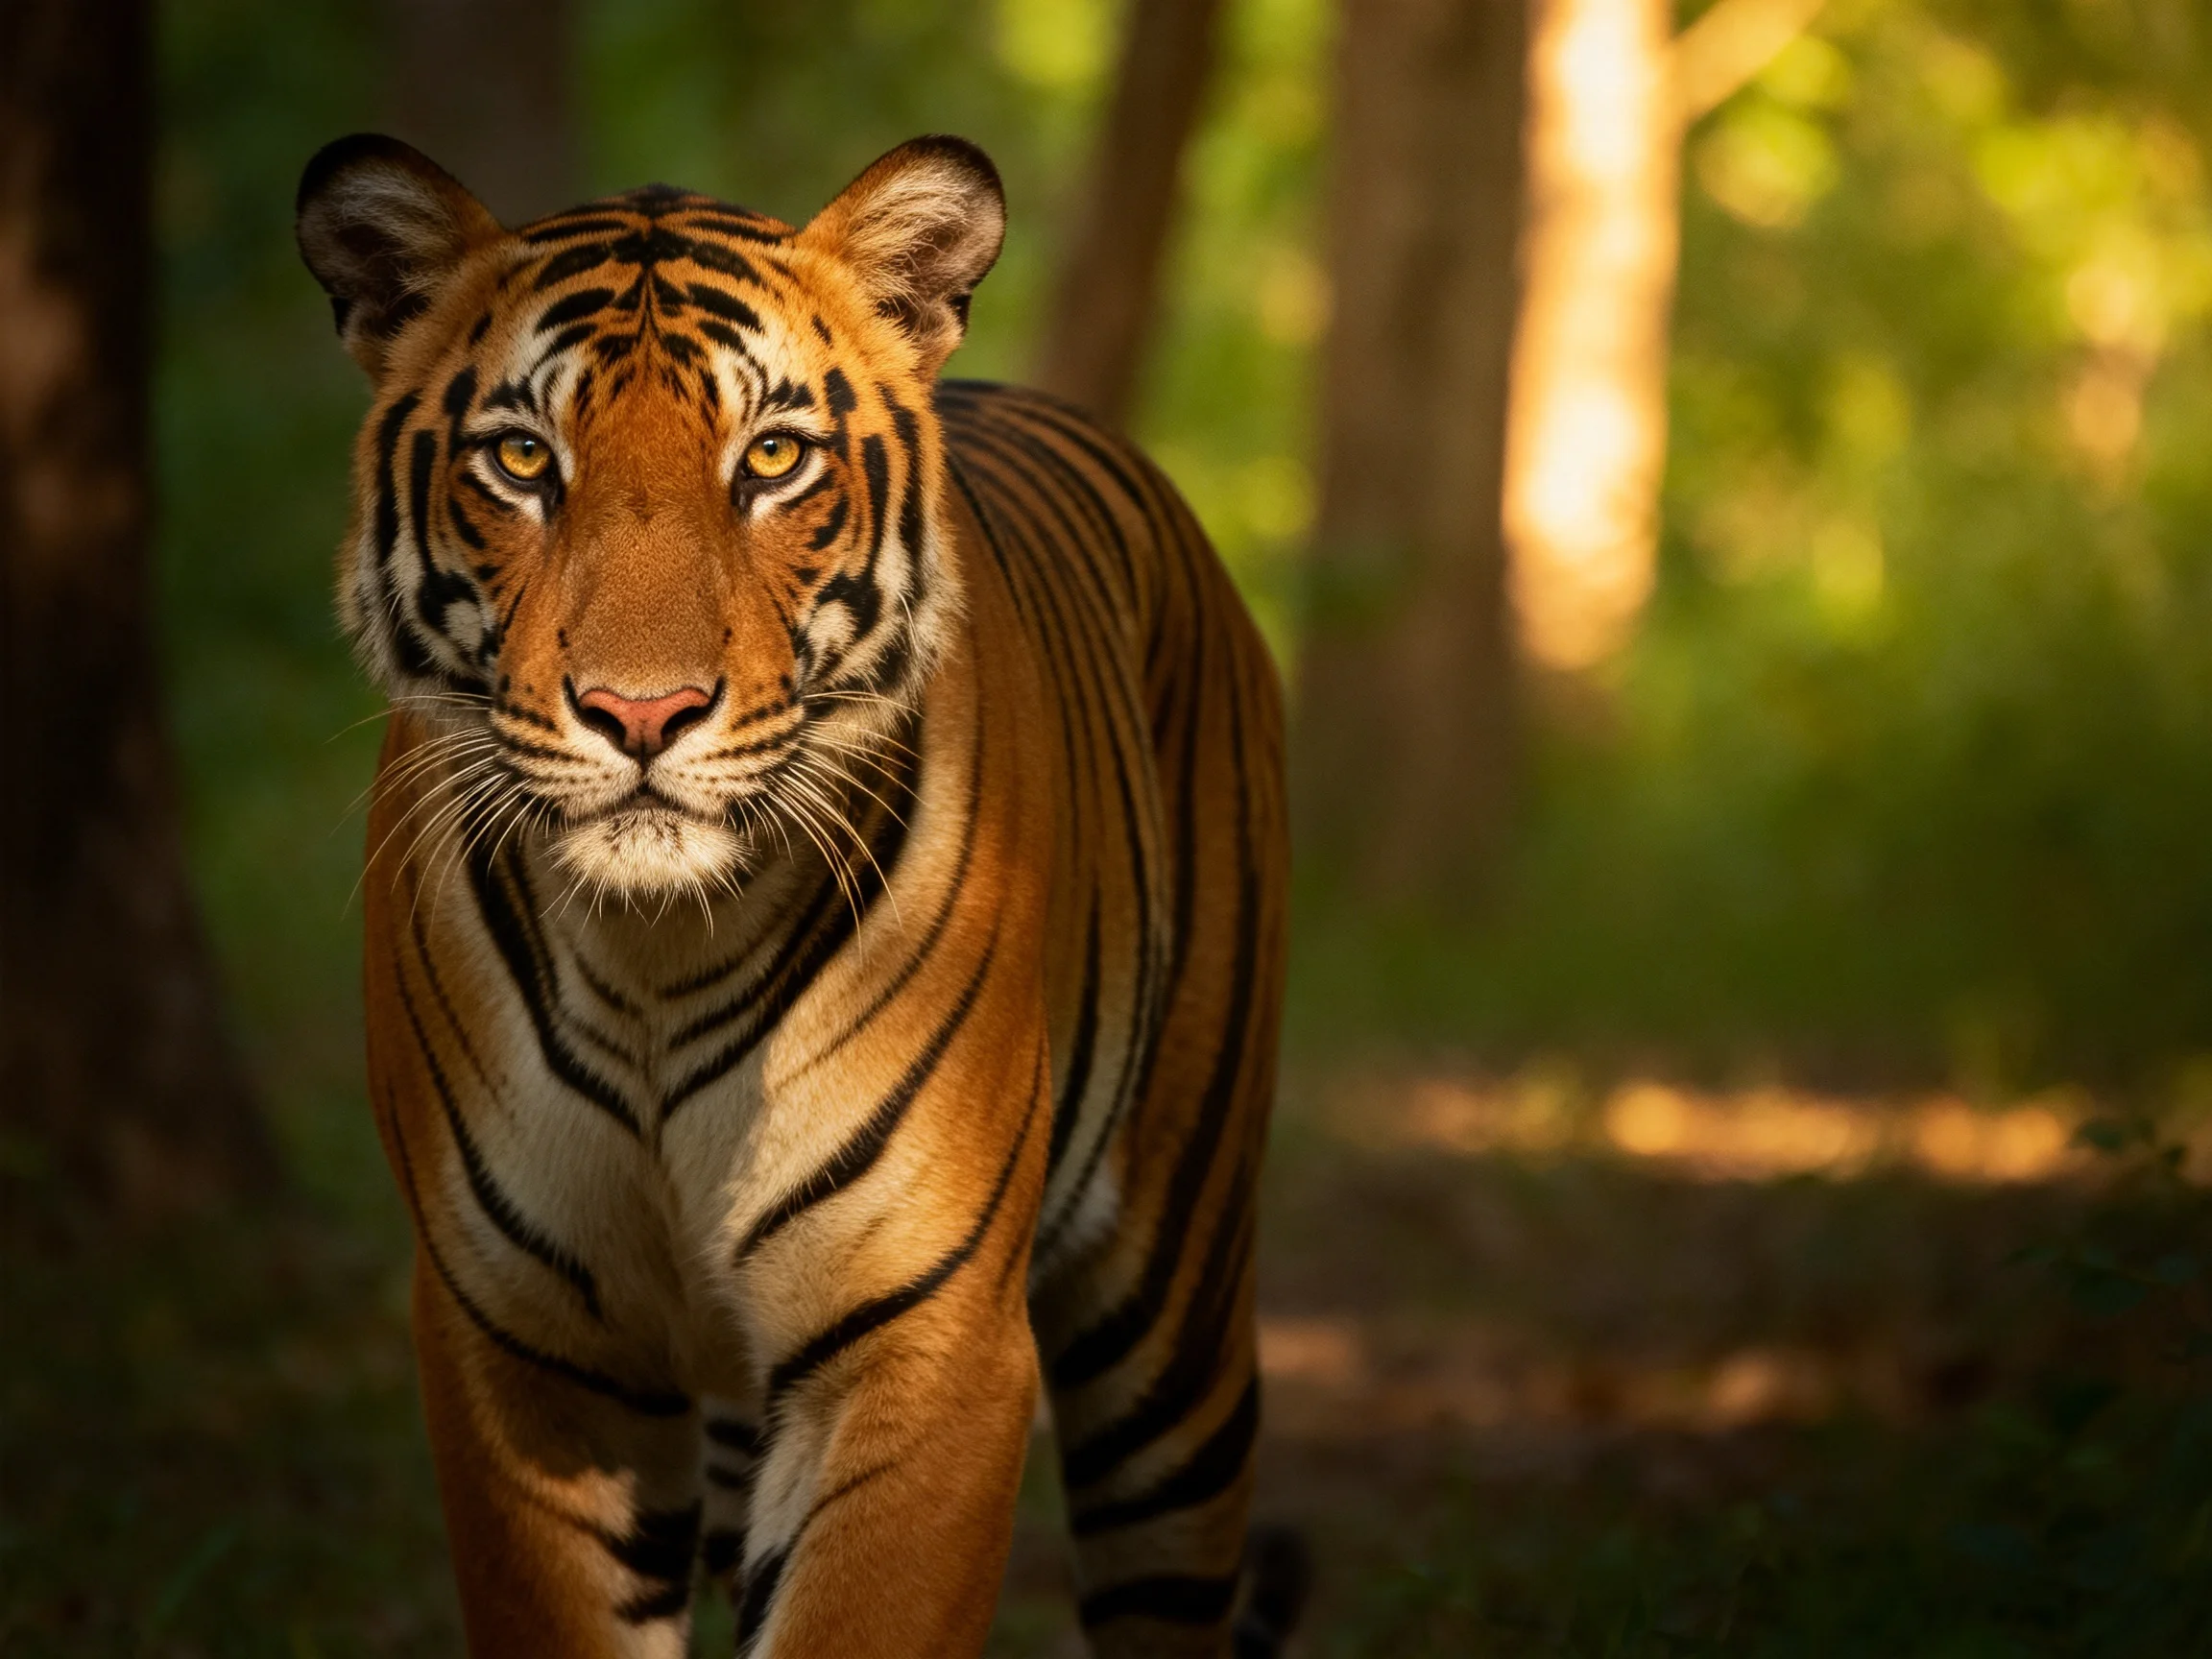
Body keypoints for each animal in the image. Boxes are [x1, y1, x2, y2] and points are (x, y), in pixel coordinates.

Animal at [294, 131, 1299, 1657]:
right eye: (523, 459)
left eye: (771, 458)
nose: (642, 713)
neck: (651, 954)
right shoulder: (523, 1349)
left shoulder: (922, 1347)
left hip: (1172, 1322)